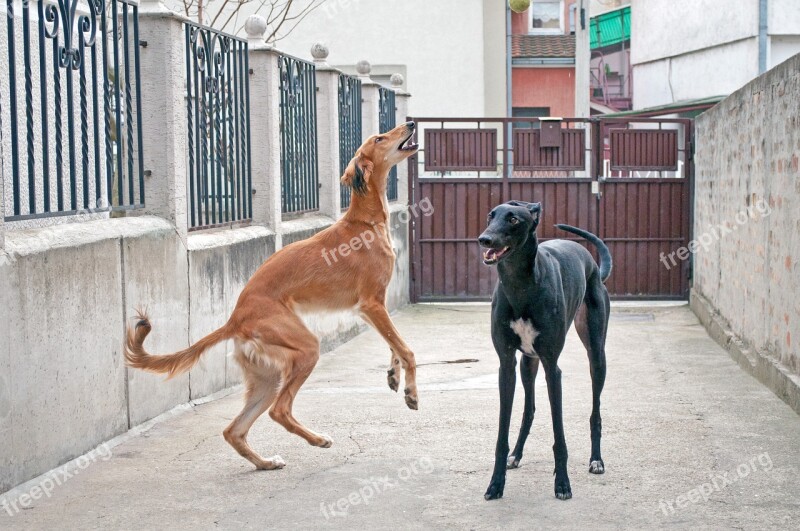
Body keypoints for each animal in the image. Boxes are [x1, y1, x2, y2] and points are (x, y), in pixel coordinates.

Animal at [123, 120, 418, 470]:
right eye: (379, 138)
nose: (411, 123)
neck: (365, 222)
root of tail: (236, 318)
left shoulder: (373, 307)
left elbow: (394, 345)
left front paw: (394, 375)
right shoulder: (372, 304)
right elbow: (406, 348)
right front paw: (412, 392)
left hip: (266, 375)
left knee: (233, 430)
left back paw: (265, 463)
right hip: (304, 348)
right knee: (280, 410)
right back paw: (317, 440)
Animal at [476, 202, 612, 500]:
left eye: (514, 219)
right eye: (491, 215)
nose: (484, 239)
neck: (521, 286)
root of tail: (593, 264)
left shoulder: (552, 366)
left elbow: (559, 434)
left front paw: (562, 483)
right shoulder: (507, 364)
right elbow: (502, 433)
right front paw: (496, 483)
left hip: (596, 354)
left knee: (596, 411)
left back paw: (596, 459)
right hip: (528, 363)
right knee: (529, 410)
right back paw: (516, 455)